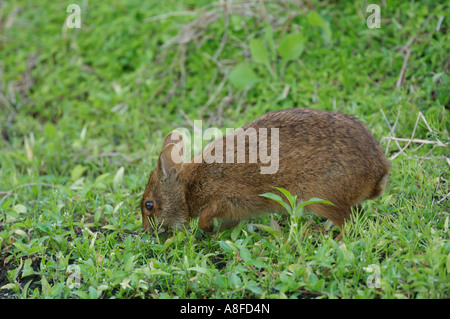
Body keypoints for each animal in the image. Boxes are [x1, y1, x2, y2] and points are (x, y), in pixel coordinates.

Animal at [141, 107, 390, 235]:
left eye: (149, 205)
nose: (146, 231)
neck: (188, 187)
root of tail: (378, 172)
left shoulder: (227, 198)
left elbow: (208, 214)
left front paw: (207, 228)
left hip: (319, 195)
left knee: (347, 224)